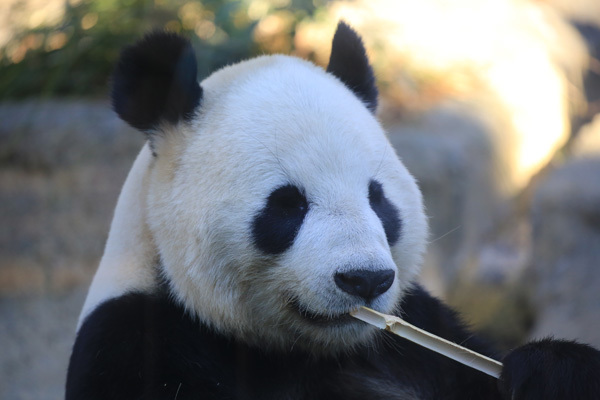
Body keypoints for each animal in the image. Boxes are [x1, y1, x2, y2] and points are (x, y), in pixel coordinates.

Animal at [65, 22, 600, 400]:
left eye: (377, 199)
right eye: (288, 205)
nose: (365, 280)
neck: (300, 353)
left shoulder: (417, 340)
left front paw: (553, 371)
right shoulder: (138, 344)